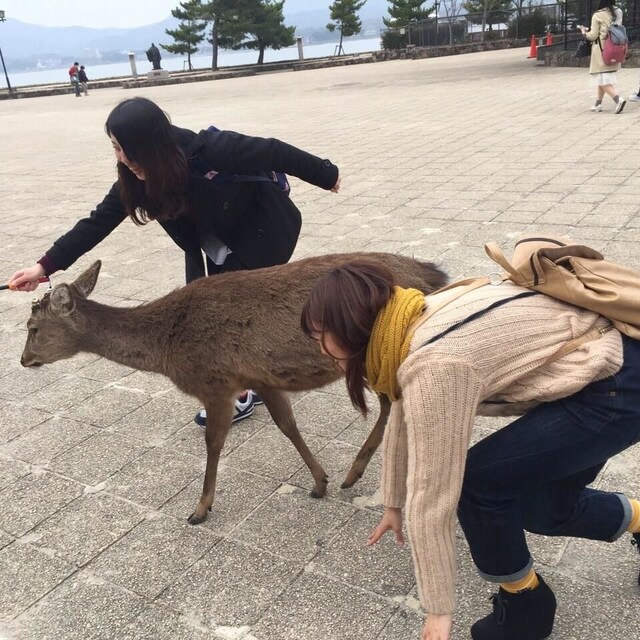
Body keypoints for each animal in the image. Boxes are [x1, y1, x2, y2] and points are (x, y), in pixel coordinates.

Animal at [20, 252, 447, 524]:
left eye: (32, 327)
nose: (23, 360)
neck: (168, 348)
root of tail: (432, 276)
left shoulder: (216, 381)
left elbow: (213, 442)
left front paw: (200, 509)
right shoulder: (262, 378)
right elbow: (287, 424)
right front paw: (319, 482)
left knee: (392, 401)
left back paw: (357, 471)